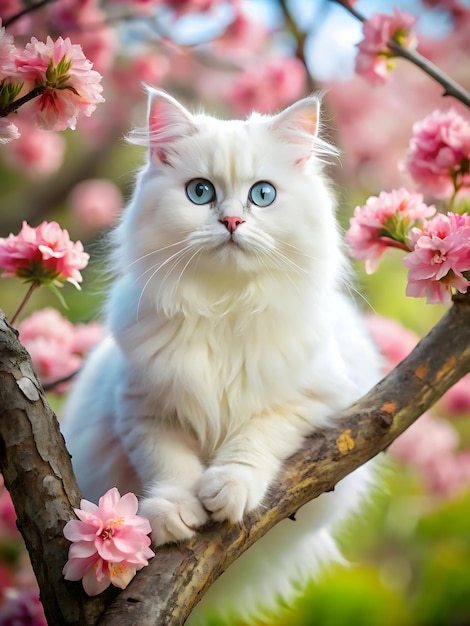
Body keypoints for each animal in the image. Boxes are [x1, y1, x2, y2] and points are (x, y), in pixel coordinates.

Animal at [61, 89, 382, 624]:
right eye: (200, 193)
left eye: (263, 195)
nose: (232, 221)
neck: (224, 305)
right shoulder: (141, 408)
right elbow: (167, 463)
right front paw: (174, 513)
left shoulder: (314, 399)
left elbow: (256, 437)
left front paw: (228, 490)